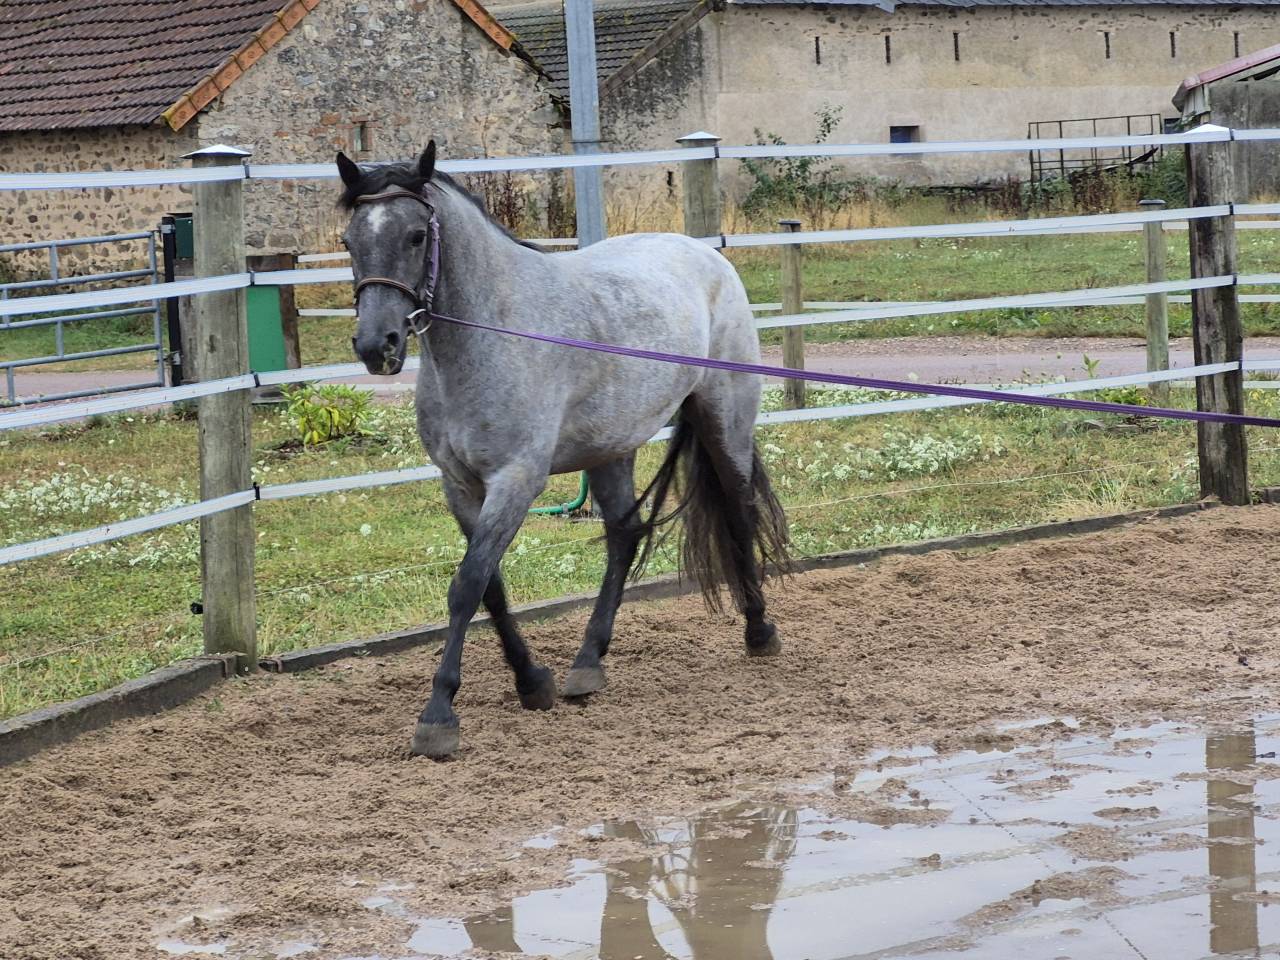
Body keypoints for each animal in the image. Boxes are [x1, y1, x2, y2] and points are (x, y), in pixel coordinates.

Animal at [337, 142, 790, 758]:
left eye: (414, 236)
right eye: (349, 241)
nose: (375, 346)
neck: (493, 333)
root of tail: (704, 254)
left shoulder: (516, 479)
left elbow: (467, 585)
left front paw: (438, 716)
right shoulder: (460, 486)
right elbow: (491, 589)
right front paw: (533, 683)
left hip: (725, 420)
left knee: (738, 514)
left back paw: (759, 631)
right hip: (611, 448)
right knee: (624, 536)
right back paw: (587, 663)